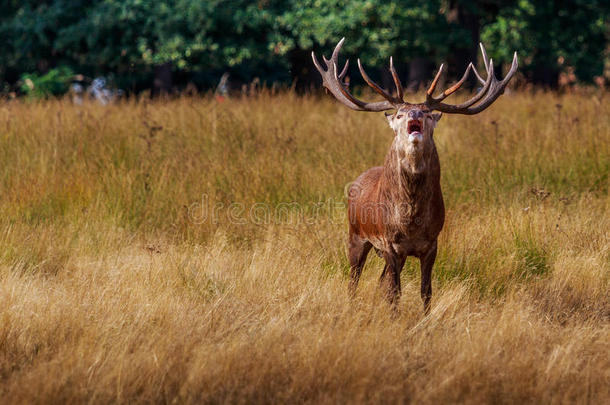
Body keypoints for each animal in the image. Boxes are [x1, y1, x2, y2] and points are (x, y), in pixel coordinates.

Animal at [312, 38, 516, 312]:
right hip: (355, 234)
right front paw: (394, 317)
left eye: (428, 113)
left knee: (380, 281)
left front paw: (425, 317)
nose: (415, 114)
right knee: (354, 279)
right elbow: (395, 292)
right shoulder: (389, 243)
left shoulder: (431, 244)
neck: (410, 221)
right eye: (400, 114)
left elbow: (425, 291)